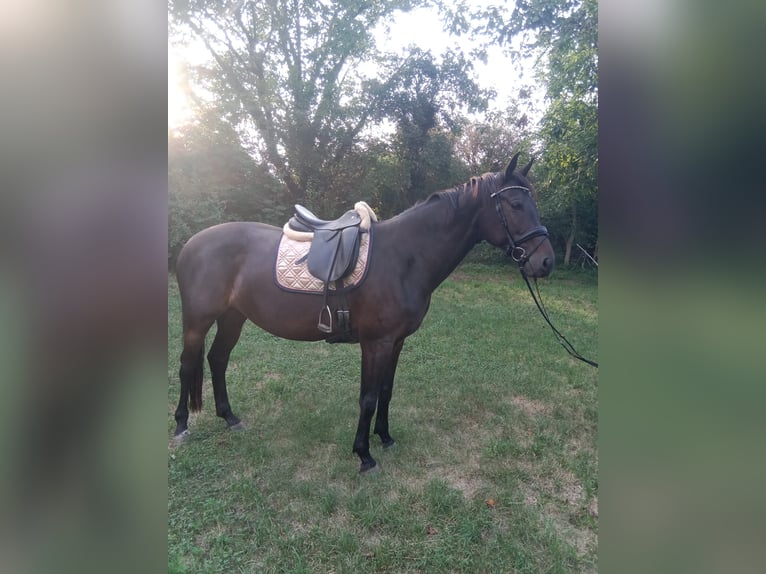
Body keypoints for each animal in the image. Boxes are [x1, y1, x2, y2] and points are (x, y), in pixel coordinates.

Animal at [172, 153, 560, 472]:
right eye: (515, 203)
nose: (545, 262)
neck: (404, 257)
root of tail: (192, 243)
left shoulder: (396, 342)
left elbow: (386, 391)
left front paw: (384, 438)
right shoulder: (375, 343)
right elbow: (368, 397)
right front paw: (363, 454)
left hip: (233, 317)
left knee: (217, 359)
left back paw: (229, 417)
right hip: (197, 322)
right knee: (188, 365)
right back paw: (180, 426)